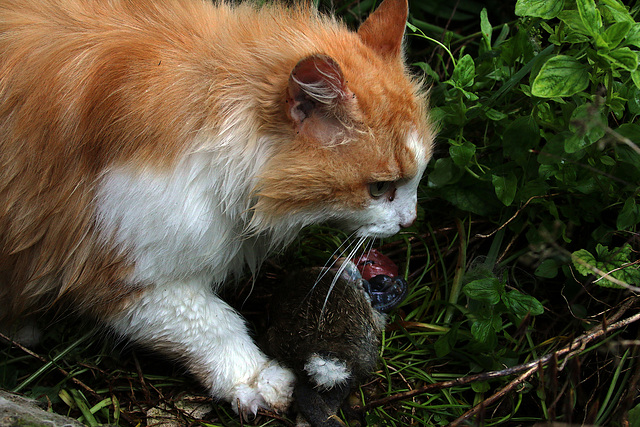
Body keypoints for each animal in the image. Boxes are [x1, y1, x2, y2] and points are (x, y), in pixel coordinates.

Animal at [0, 0, 436, 416]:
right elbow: (213, 324)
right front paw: (256, 378)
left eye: (417, 177)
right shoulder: (120, 268)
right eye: (379, 188)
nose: (411, 221)